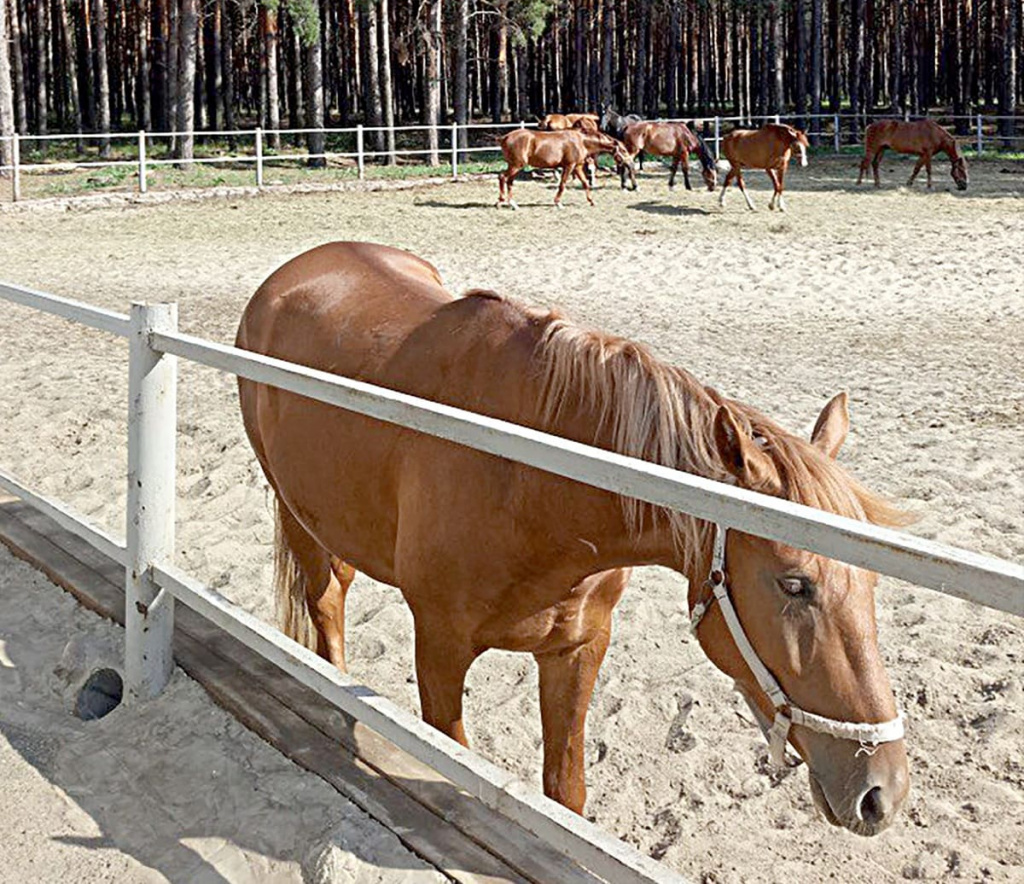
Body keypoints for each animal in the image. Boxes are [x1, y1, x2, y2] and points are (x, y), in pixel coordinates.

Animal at [237, 241, 913, 835]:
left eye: (873, 580)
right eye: (795, 584)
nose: (883, 791)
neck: (531, 475)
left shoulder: (578, 648)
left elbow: (565, 793)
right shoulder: (439, 647)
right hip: (298, 514)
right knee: (326, 608)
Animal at [495, 127, 630, 207]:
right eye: (623, 150)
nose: (628, 162)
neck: (581, 142)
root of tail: (505, 137)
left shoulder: (577, 167)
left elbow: (585, 183)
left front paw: (591, 201)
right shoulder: (569, 166)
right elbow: (563, 183)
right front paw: (558, 203)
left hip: (514, 166)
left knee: (509, 182)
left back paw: (512, 204)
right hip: (516, 165)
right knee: (502, 177)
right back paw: (500, 201)